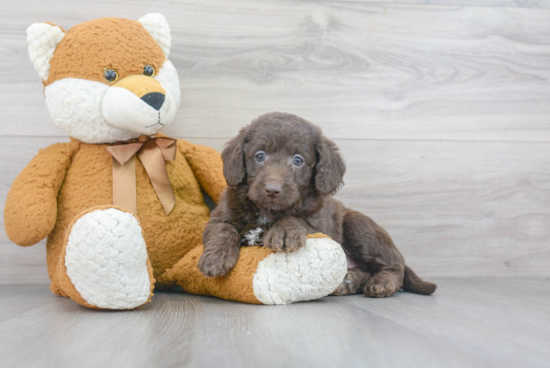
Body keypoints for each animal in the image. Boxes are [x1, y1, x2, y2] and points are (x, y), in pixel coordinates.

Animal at [198, 110, 436, 298]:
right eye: (259, 156)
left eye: (298, 160)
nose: (273, 190)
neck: (268, 211)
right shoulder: (220, 216)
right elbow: (223, 230)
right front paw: (215, 259)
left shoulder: (318, 223)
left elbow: (296, 219)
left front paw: (284, 232)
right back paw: (348, 281)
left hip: (357, 224)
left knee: (395, 265)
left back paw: (382, 283)